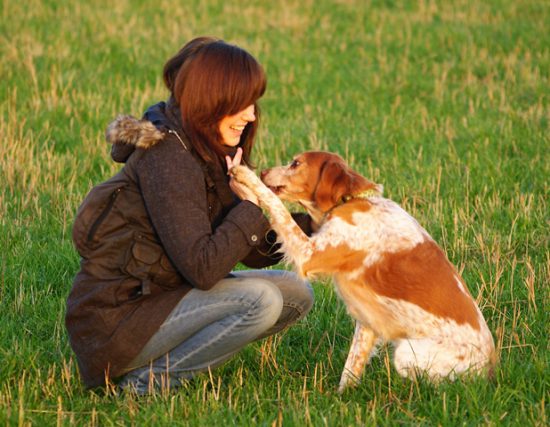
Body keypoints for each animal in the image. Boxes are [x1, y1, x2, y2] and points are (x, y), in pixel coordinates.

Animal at [231, 152, 498, 392]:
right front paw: (342, 397)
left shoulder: (309, 254)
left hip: (407, 353)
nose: (263, 172)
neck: (350, 200)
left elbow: (277, 207)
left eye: (296, 163)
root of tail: (490, 370)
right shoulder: (367, 323)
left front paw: (245, 177)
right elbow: (351, 366)